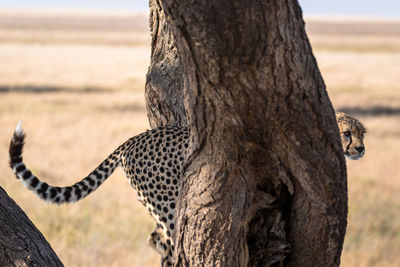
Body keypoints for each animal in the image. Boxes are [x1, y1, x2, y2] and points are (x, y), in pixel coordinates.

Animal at [7, 113, 366, 266]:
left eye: (363, 132)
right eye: (347, 134)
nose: (360, 149)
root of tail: (132, 140)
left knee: (155, 238)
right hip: (167, 202)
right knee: (167, 241)